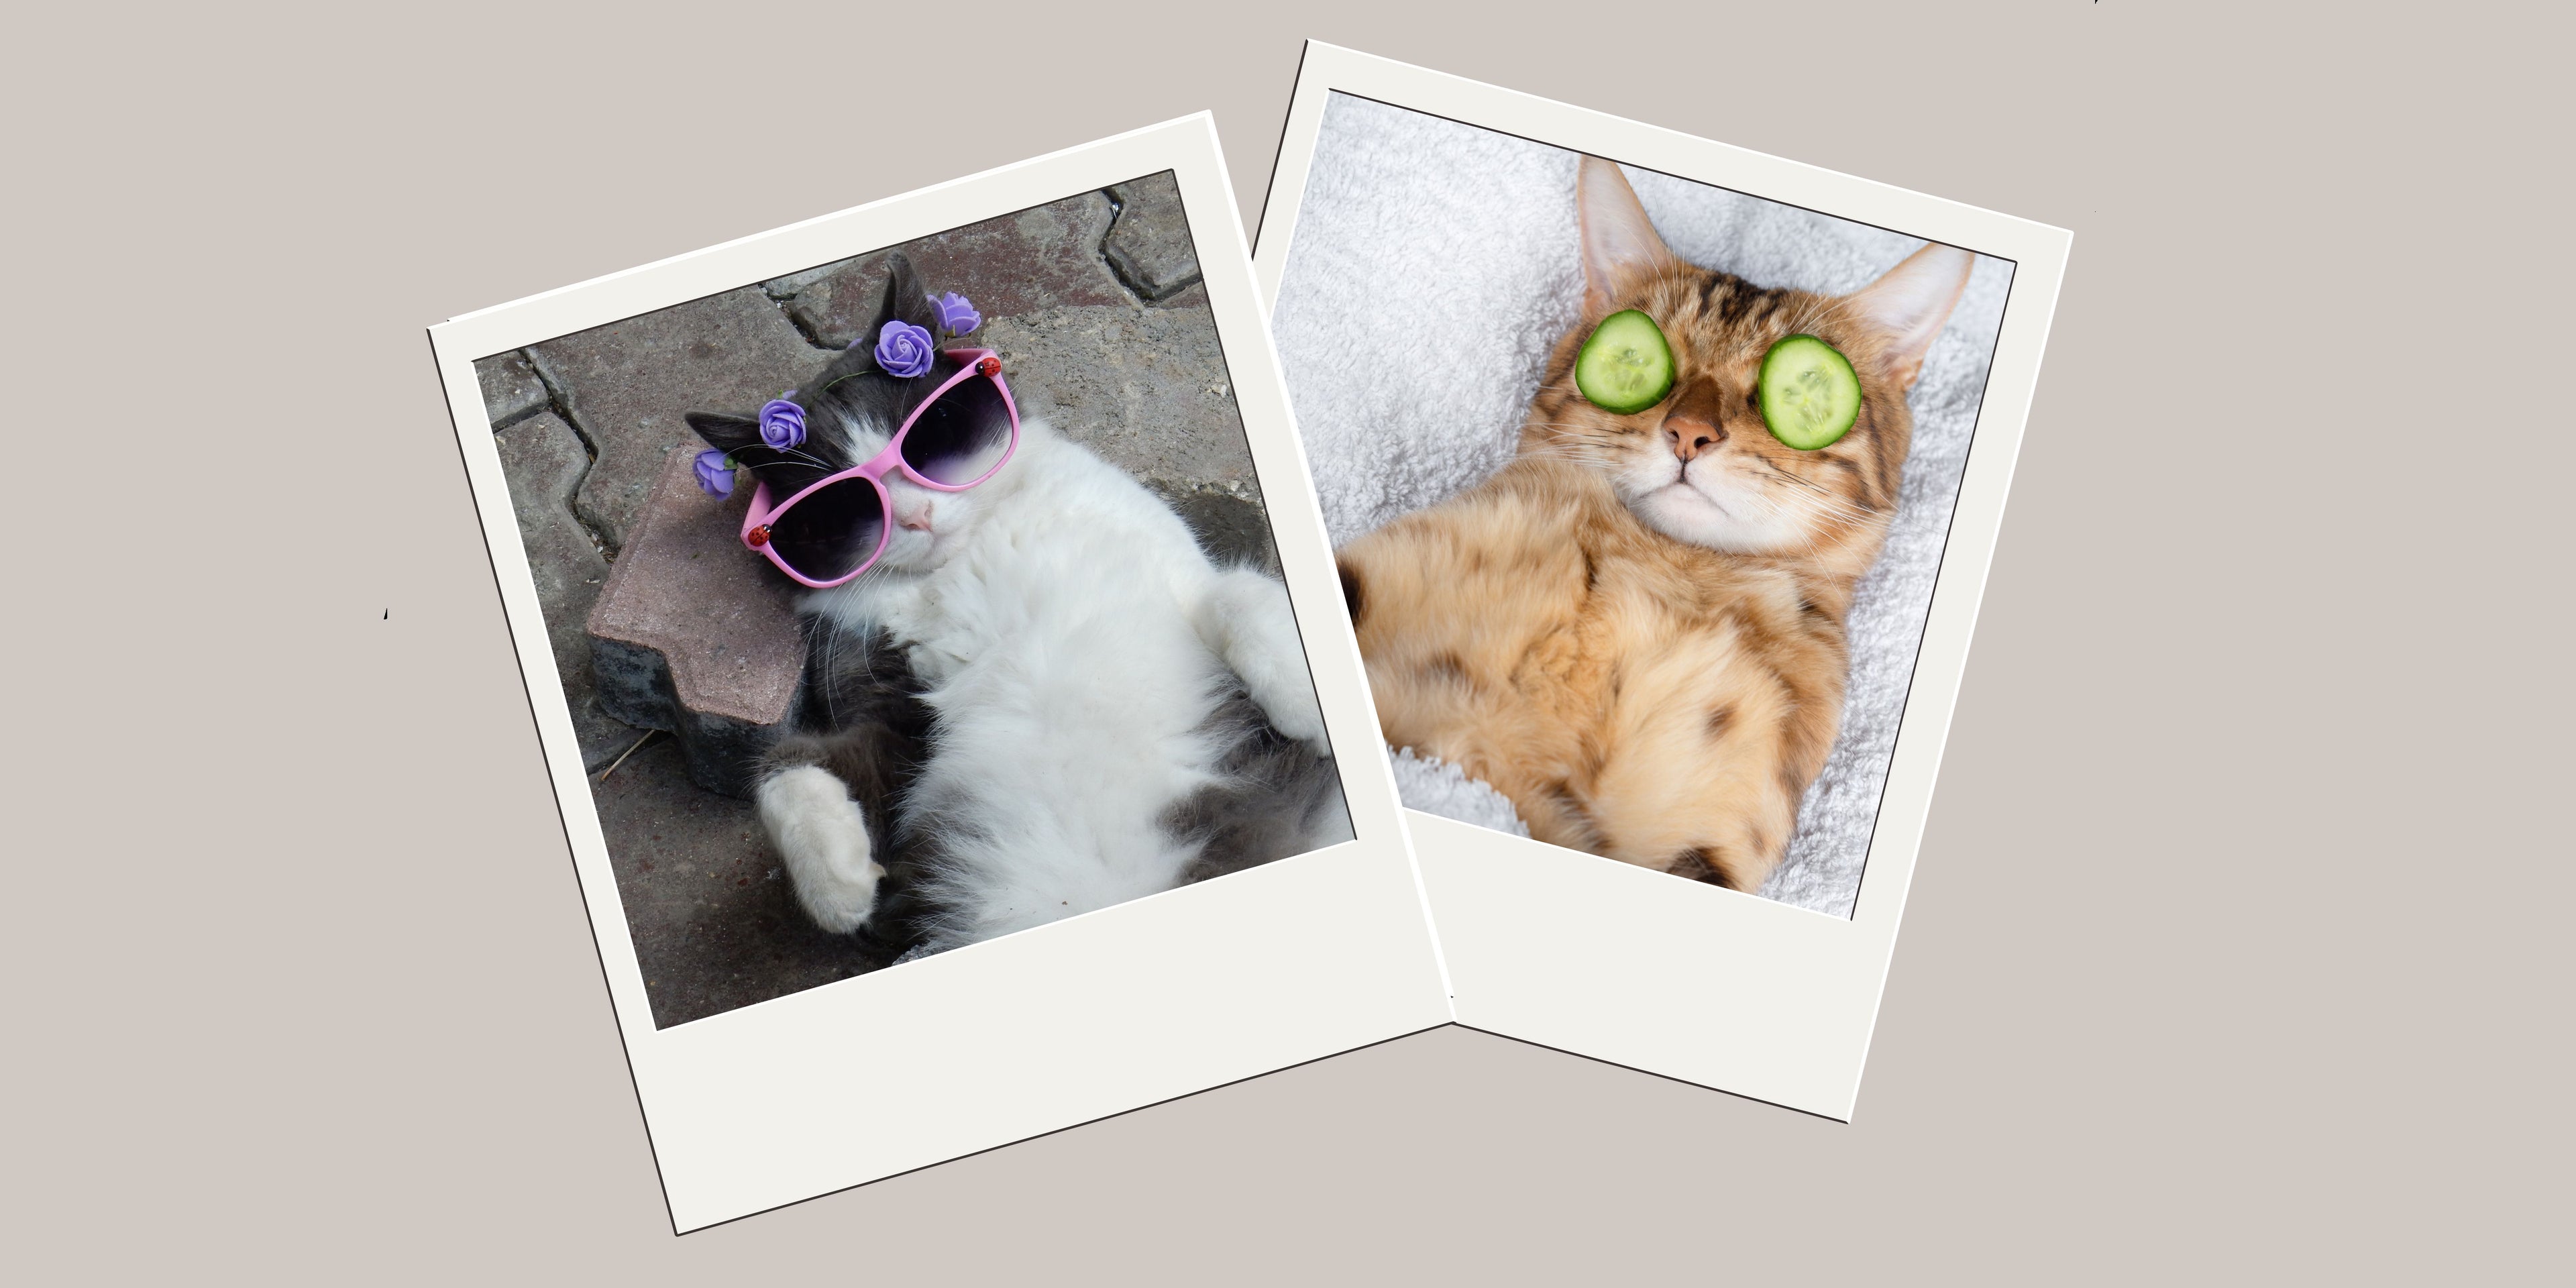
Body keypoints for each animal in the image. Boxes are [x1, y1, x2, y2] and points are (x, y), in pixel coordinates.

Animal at [685, 254, 1350, 958]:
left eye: (933, 434)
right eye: (841, 509)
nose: (916, 516)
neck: (974, 559)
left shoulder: (1176, 574)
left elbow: (1237, 594)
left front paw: (1306, 702)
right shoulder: (893, 710)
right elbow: (785, 765)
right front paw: (838, 888)